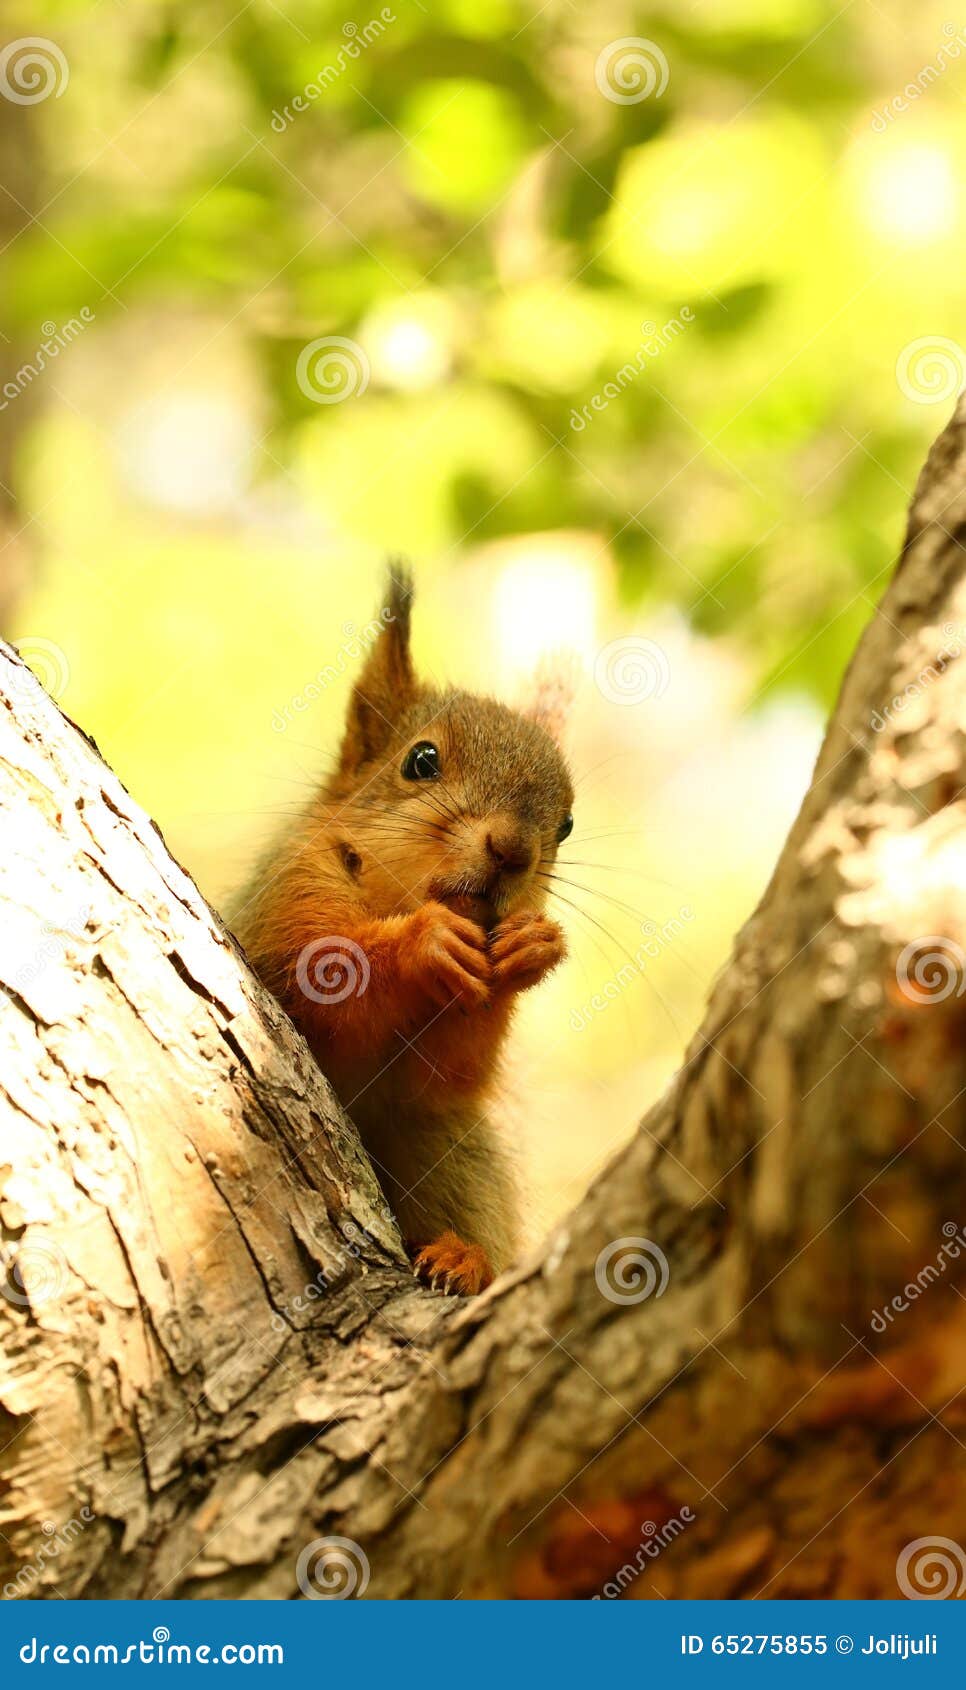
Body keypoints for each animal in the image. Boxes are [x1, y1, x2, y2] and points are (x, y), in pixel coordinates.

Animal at [230, 566, 573, 1296]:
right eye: (420, 761)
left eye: (565, 825)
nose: (512, 851)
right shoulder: (286, 903)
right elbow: (320, 982)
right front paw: (423, 943)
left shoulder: (431, 1079)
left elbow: (444, 1075)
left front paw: (532, 950)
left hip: (449, 1149)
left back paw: (462, 1259)